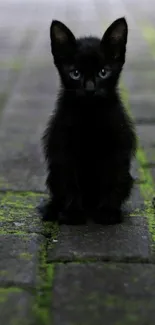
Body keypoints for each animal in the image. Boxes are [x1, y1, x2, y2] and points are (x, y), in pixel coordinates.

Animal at [39, 17, 137, 223]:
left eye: (103, 72)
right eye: (75, 73)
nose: (90, 89)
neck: (90, 115)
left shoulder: (117, 146)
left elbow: (111, 180)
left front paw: (108, 211)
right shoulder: (63, 149)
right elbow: (70, 183)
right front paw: (73, 213)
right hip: (54, 174)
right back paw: (53, 209)